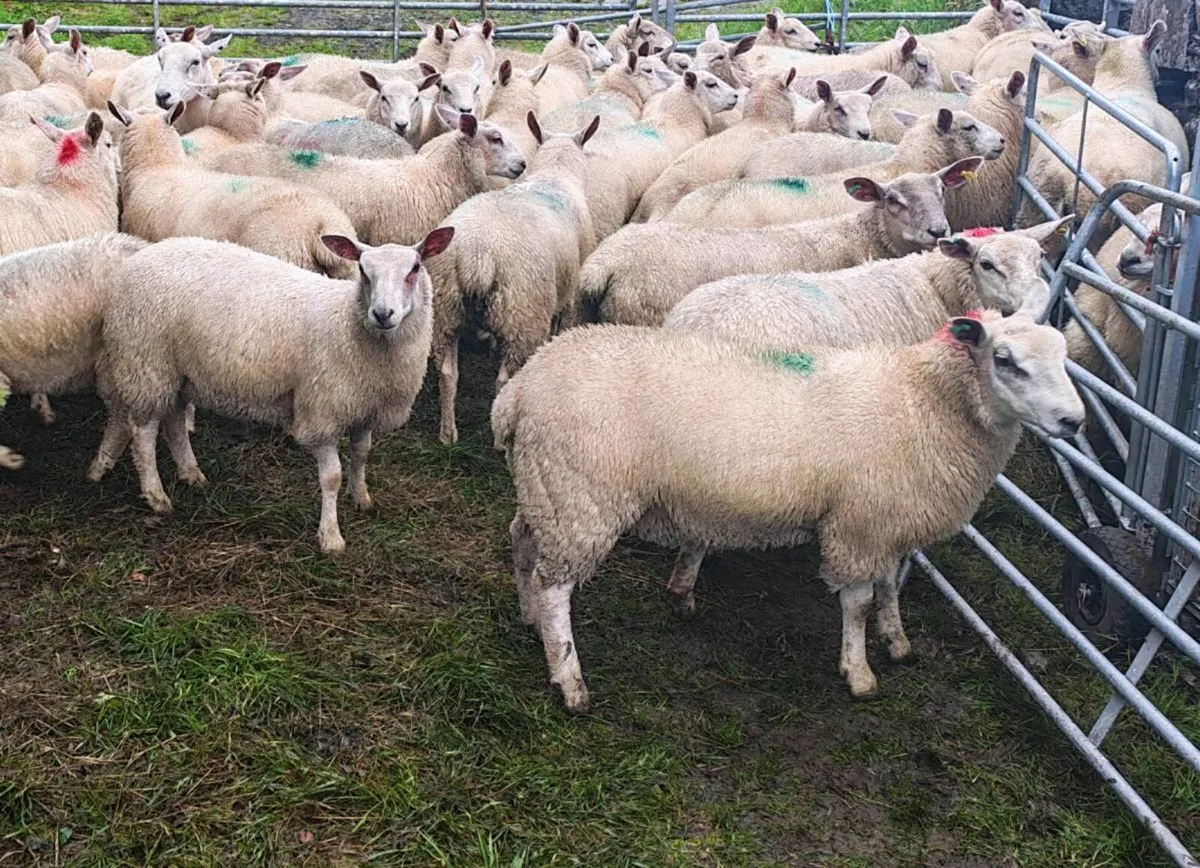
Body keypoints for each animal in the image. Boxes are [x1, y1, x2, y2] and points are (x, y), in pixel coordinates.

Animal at [97, 229, 455, 554]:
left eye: (415, 268)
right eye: (364, 271)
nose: (382, 314)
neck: (350, 326)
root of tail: (141, 255)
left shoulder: (364, 407)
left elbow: (362, 453)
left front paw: (362, 497)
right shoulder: (321, 412)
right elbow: (331, 477)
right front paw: (331, 537)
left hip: (180, 372)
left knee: (173, 421)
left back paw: (191, 473)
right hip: (146, 363)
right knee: (143, 434)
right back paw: (156, 496)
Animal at [427, 112, 601, 444]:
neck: (554, 176)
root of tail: (478, 257)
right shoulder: (567, 293)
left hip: (445, 311)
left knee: (447, 373)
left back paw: (447, 433)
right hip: (522, 314)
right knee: (504, 380)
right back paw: (495, 442)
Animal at [491, 312, 1084, 711]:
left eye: (1064, 359)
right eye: (1004, 360)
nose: (1074, 421)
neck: (922, 400)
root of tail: (520, 389)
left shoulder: (889, 519)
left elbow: (889, 588)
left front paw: (897, 643)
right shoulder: (860, 523)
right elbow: (859, 601)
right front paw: (858, 672)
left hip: (545, 487)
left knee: (522, 542)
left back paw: (528, 618)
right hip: (581, 495)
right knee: (555, 587)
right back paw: (569, 678)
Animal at [1021, 21, 1187, 251]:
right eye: (1158, 51)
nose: (1160, 75)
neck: (1122, 83)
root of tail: (1071, 180)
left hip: (1037, 201)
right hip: (1105, 224)